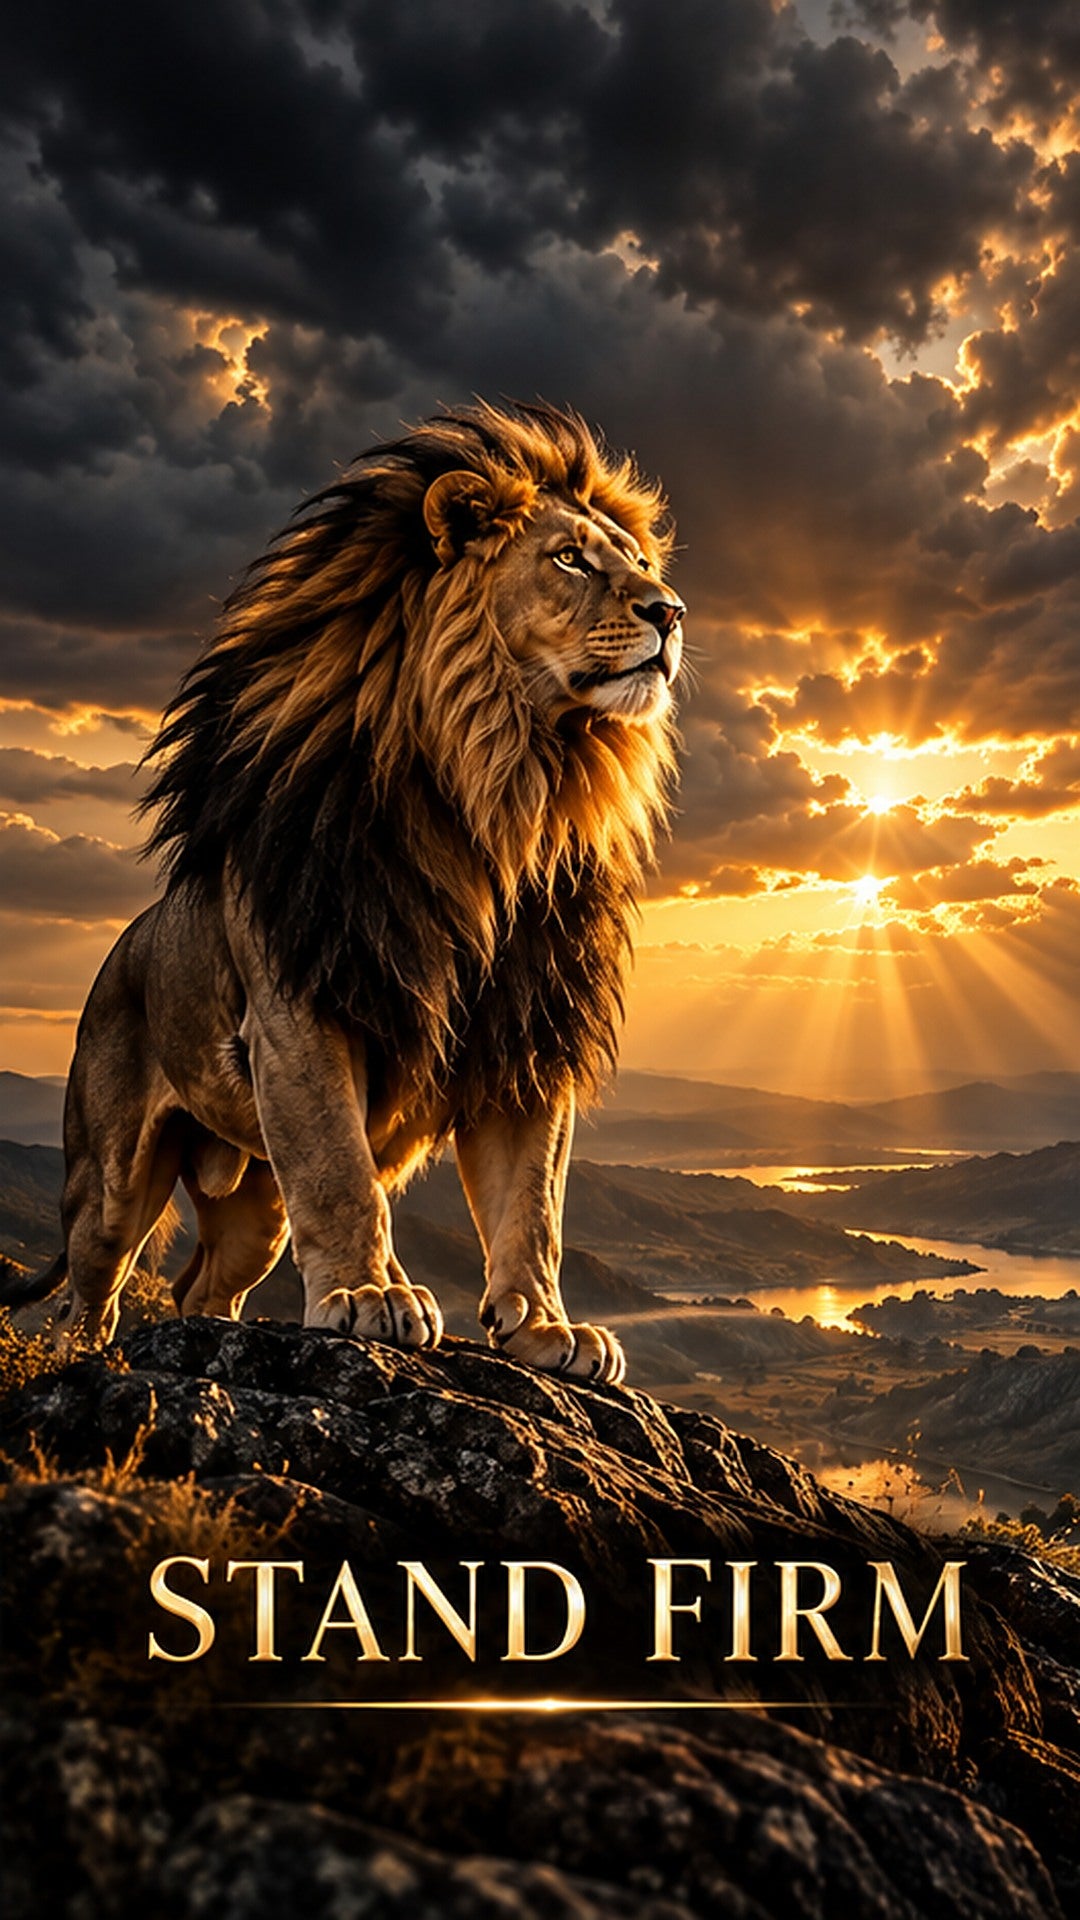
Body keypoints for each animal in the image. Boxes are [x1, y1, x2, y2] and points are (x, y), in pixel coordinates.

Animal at [2, 401, 683, 1382]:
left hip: (255, 1205)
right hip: (110, 1181)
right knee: (89, 1298)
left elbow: (533, 1205)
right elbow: (341, 1172)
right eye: (569, 559)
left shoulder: (526, 1030)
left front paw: (547, 1329)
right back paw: (91, 1363)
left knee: (202, 1289)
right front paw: (370, 1296)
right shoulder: (304, 1013)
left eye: (638, 564)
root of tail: (121, 949)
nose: (670, 612)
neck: (511, 787)